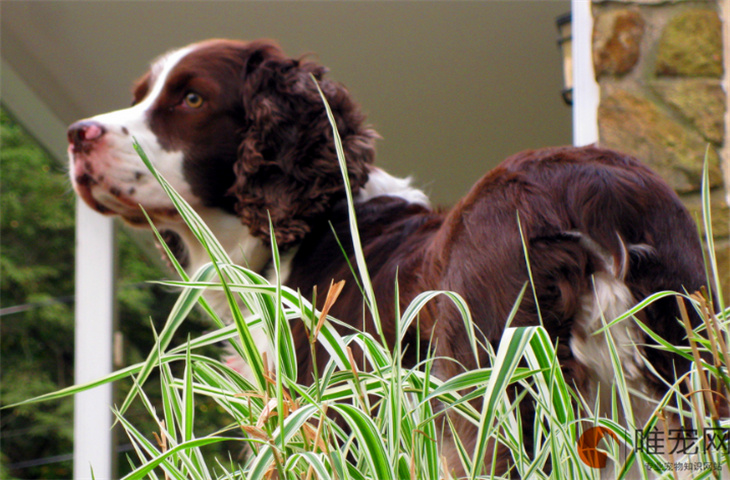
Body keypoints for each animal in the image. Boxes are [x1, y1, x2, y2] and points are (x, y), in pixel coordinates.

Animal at [67, 38, 704, 472]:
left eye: (192, 97)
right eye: (139, 96)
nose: (78, 134)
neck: (313, 224)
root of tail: (592, 189)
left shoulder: (329, 417)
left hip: (494, 389)